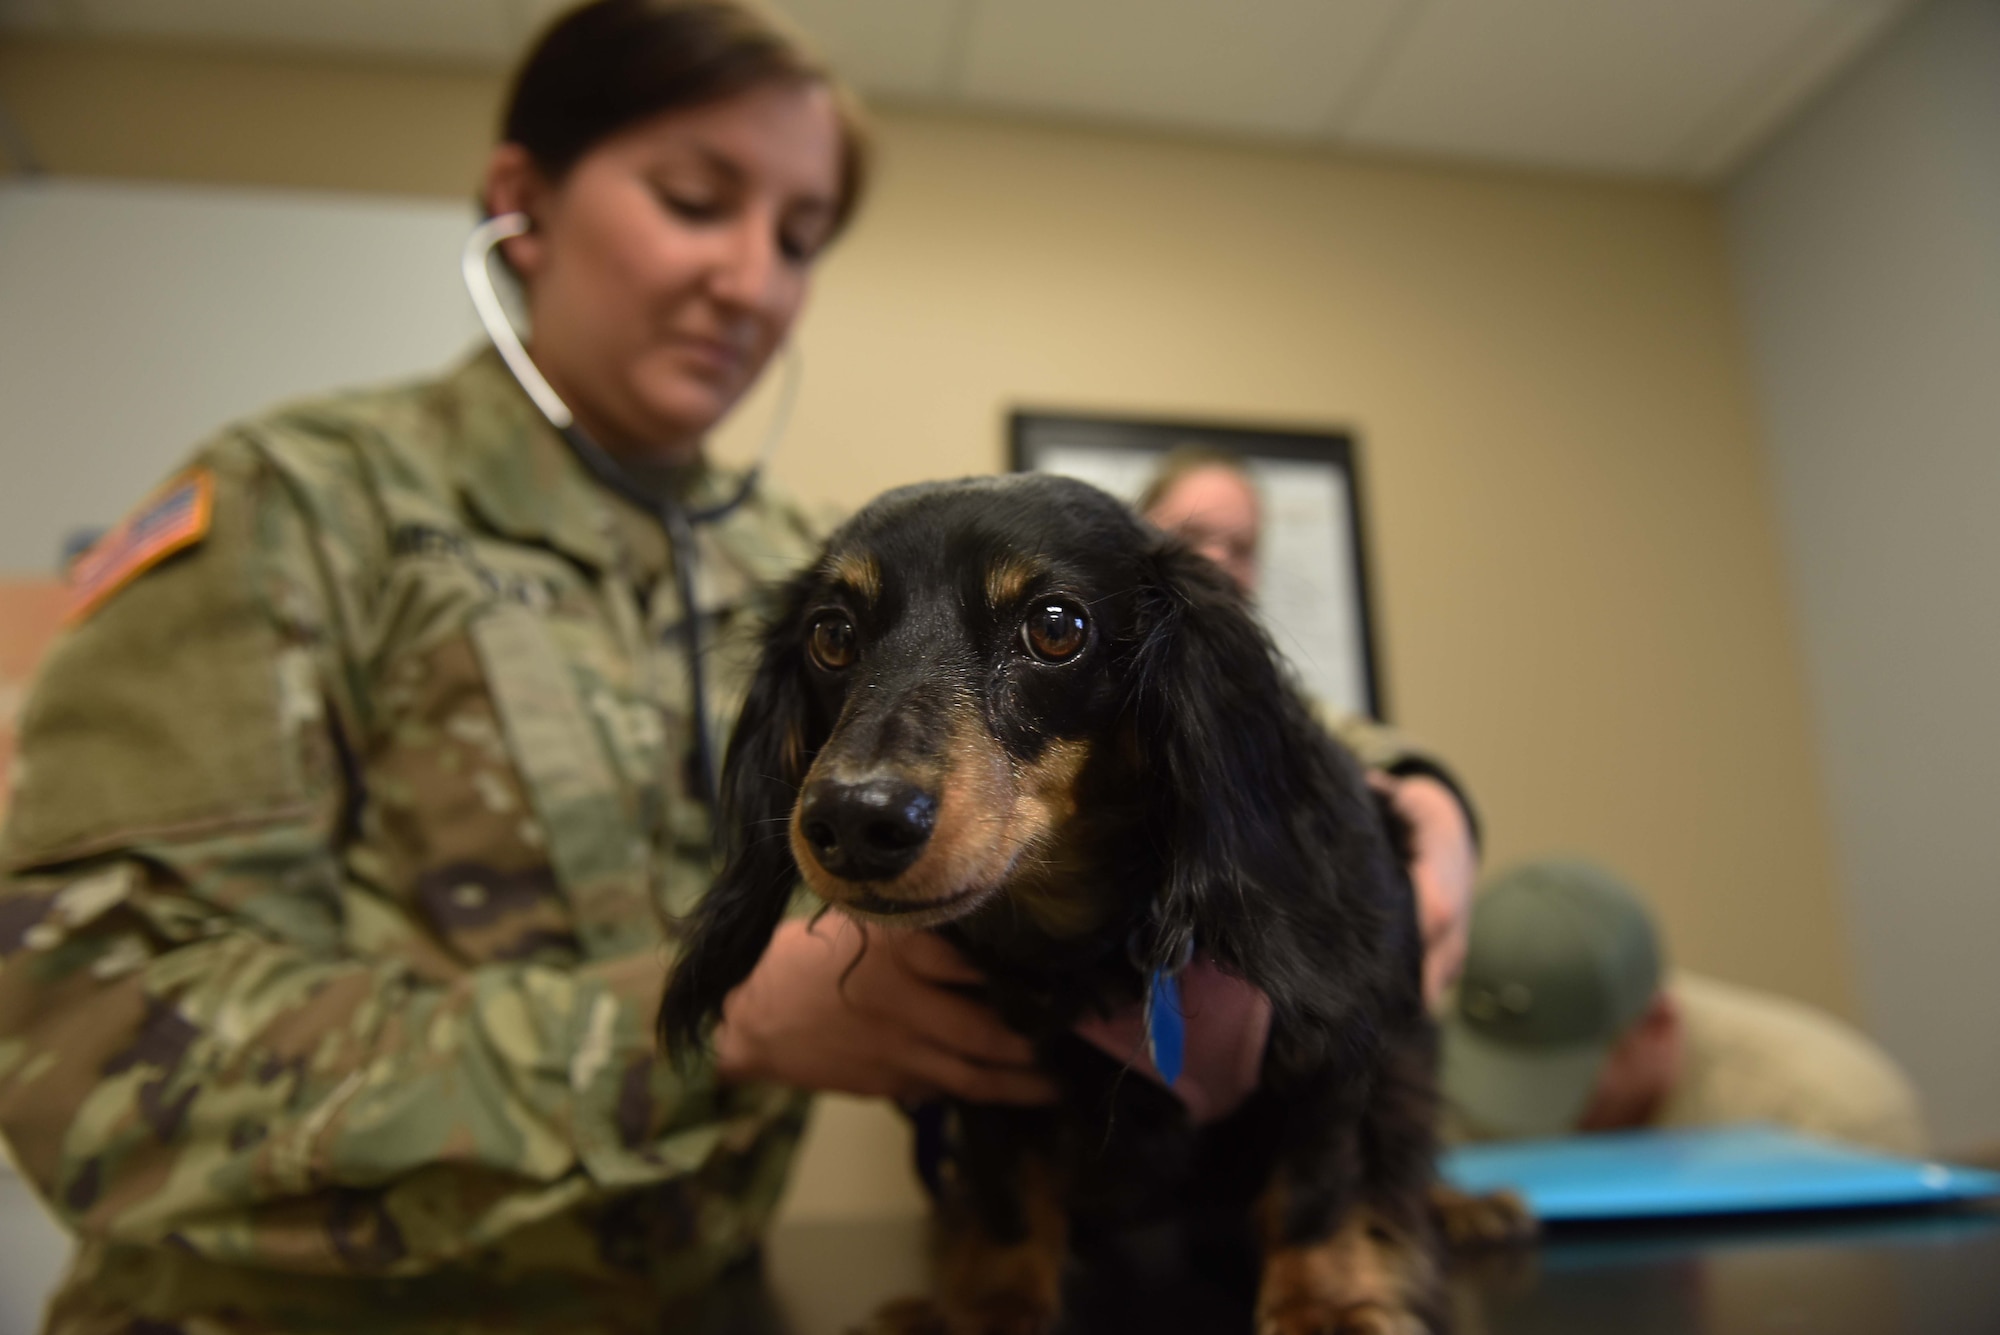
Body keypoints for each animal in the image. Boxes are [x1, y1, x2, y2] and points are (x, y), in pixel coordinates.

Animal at [664, 473, 1496, 1327]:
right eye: (831, 635)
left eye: (1056, 626)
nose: (857, 820)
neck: (1095, 945)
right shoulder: (984, 1073)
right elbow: (1006, 1195)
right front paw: (994, 1303)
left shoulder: (1339, 1038)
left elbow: (1316, 1182)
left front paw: (1320, 1304)